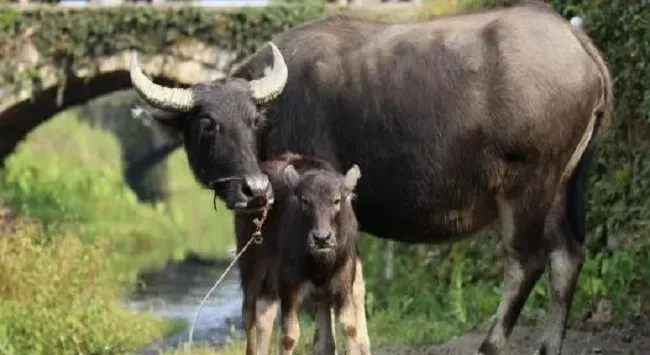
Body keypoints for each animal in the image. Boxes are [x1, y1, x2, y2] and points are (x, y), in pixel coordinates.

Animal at [234, 153, 368, 355]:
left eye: (337, 201)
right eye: (305, 201)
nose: (321, 238)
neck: (319, 261)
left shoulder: (343, 280)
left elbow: (349, 327)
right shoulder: (289, 284)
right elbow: (289, 337)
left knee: (265, 311)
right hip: (251, 267)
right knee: (249, 314)